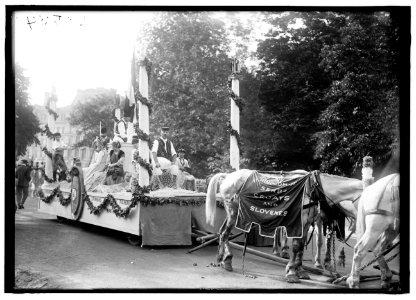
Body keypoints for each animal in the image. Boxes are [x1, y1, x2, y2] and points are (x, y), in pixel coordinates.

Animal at [206, 170, 362, 282]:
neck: (314, 190)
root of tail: (228, 176)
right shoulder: (300, 222)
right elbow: (296, 246)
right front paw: (292, 272)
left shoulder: (306, 224)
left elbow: (300, 247)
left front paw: (300, 270)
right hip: (233, 213)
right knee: (225, 234)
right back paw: (226, 260)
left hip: (231, 213)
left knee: (222, 232)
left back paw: (222, 258)